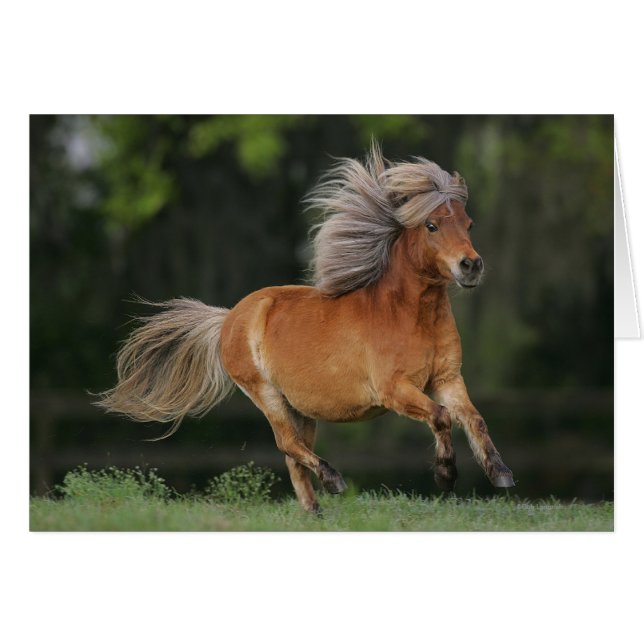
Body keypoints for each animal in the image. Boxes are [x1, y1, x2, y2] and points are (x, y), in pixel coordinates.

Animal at [97, 143, 515, 513]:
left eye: (469, 223)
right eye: (431, 225)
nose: (470, 266)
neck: (410, 316)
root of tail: (229, 318)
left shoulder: (446, 379)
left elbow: (474, 419)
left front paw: (501, 474)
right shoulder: (395, 390)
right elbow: (441, 417)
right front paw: (446, 475)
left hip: (301, 407)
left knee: (293, 454)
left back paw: (314, 511)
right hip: (265, 394)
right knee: (287, 444)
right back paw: (334, 481)